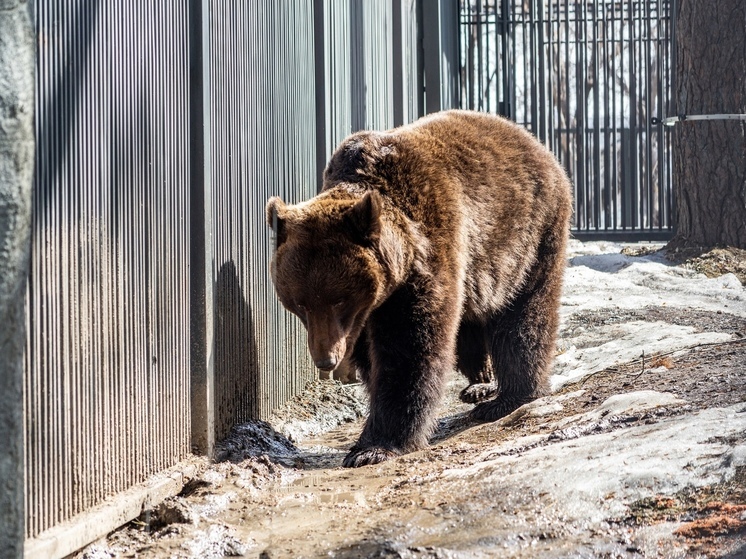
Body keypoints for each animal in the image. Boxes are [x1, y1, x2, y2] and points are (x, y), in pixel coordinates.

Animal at [266, 109, 568, 468]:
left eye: (339, 300)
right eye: (299, 304)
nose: (326, 360)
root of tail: (535, 143)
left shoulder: (427, 255)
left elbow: (409, 349)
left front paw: (373, 447)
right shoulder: (368, 312)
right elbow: (374, 356)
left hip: (529, 237)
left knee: (524, 315)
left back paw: (509, 395)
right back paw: (481, 382)